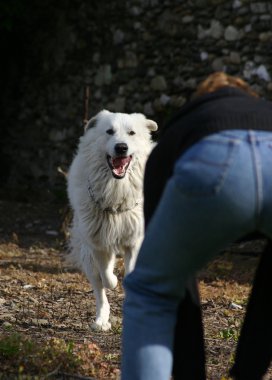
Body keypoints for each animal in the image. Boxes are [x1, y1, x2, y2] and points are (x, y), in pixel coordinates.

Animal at [66, 109, 158, 330]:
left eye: (131, 133)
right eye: (109, 131)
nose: (121, 147)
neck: (116, 190)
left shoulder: (134, 242)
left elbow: (131, 274)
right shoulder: (98, 244)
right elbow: (107, 279)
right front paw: (115, 281)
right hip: (88, 255)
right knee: (99, 290)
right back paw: (101, 321)